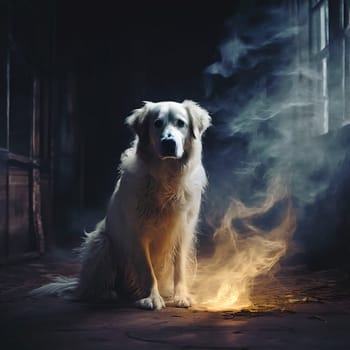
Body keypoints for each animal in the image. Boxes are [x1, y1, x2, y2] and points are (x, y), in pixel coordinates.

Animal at [32, 100, 212, 310]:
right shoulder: (137, 232)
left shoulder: (183, 231)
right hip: (101, 243)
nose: (169, 142)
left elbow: (179, 268)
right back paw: (106, 294)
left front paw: (181, 296)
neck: (166, 178)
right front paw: (152, 298)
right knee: (93, 287)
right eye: (157, 123)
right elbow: (147, 270)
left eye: (181, 123)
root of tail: (79, 284)